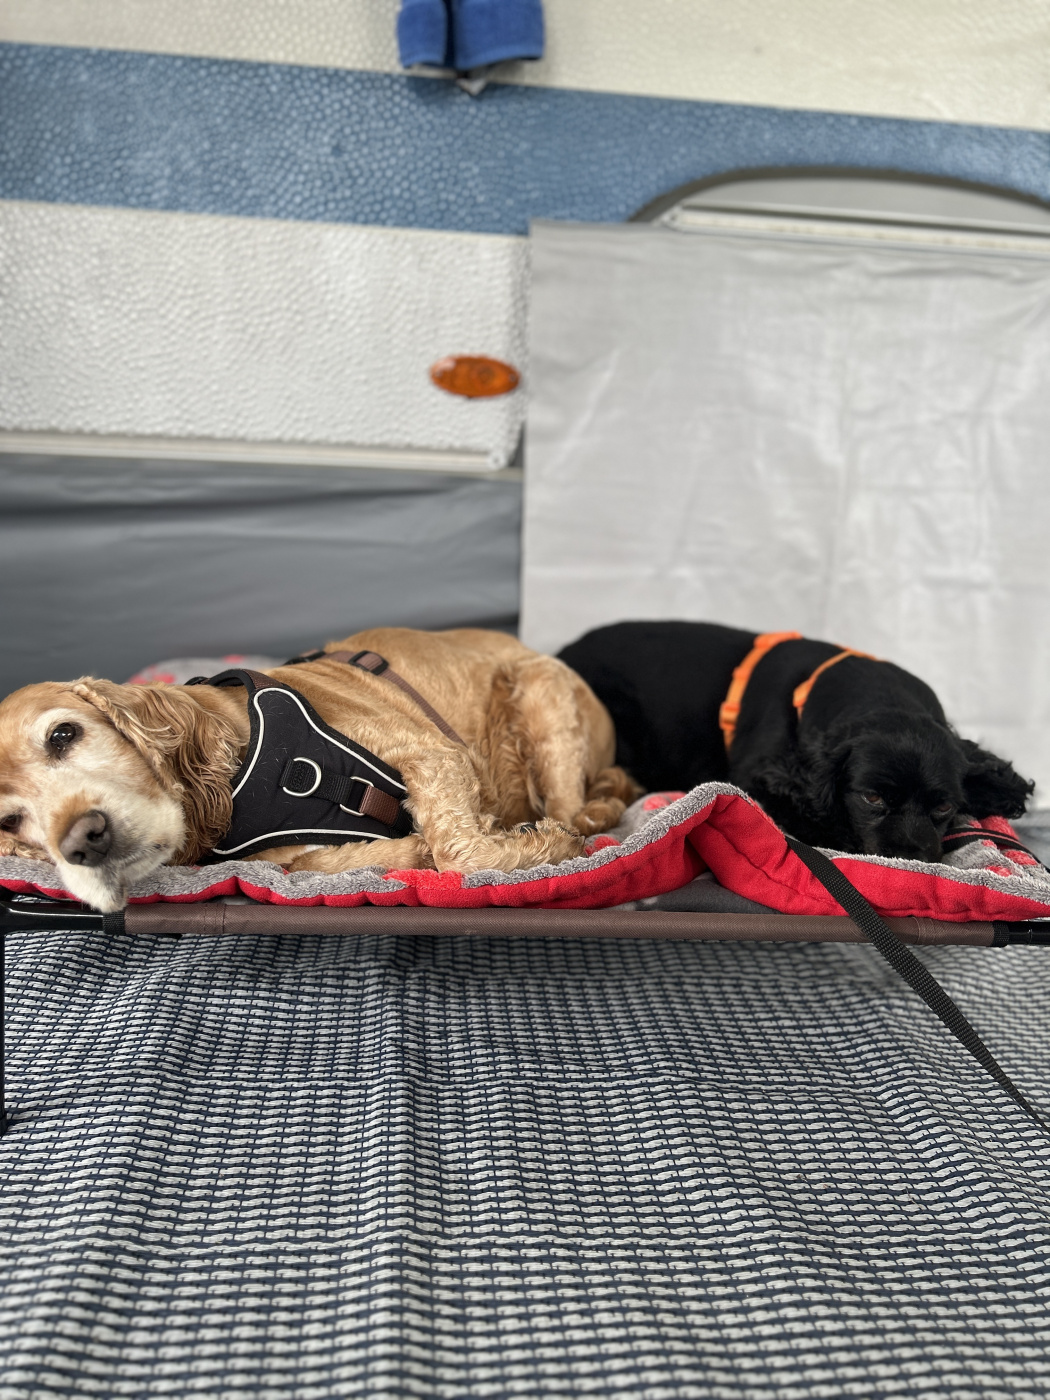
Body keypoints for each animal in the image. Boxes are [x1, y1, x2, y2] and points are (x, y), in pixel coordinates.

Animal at [0, 627, 639, 911]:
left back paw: (581, 822)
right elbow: (313, 864)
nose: (84, 839)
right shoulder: (284, 856)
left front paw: (543, 846)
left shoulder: (432, 750)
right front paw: (409, 852)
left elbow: (461, 855)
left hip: (542, 692)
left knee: (578, 803)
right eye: (9, 820)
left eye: (64, 734)